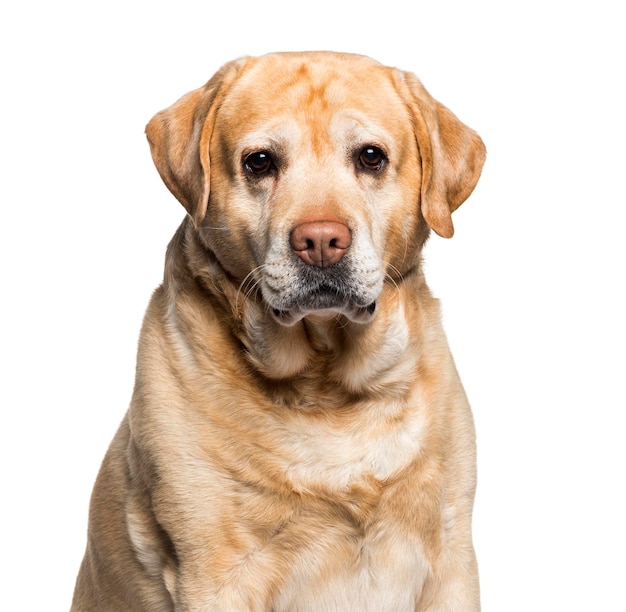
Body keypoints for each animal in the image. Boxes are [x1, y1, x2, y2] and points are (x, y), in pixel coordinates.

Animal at [70, 52, 486, 612]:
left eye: (371, 157)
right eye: (260, 162)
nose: (321, 241)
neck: (328, 385)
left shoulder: (451, 560)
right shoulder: (215, 576)